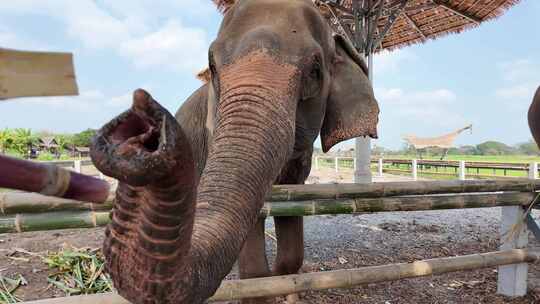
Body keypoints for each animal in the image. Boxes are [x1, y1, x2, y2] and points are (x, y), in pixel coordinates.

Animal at [90, 0, 380, 304]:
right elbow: (254, 269)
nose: (141, 134)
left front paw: (283, 282)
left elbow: (291, 240)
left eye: (314, 70)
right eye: (212, 65)